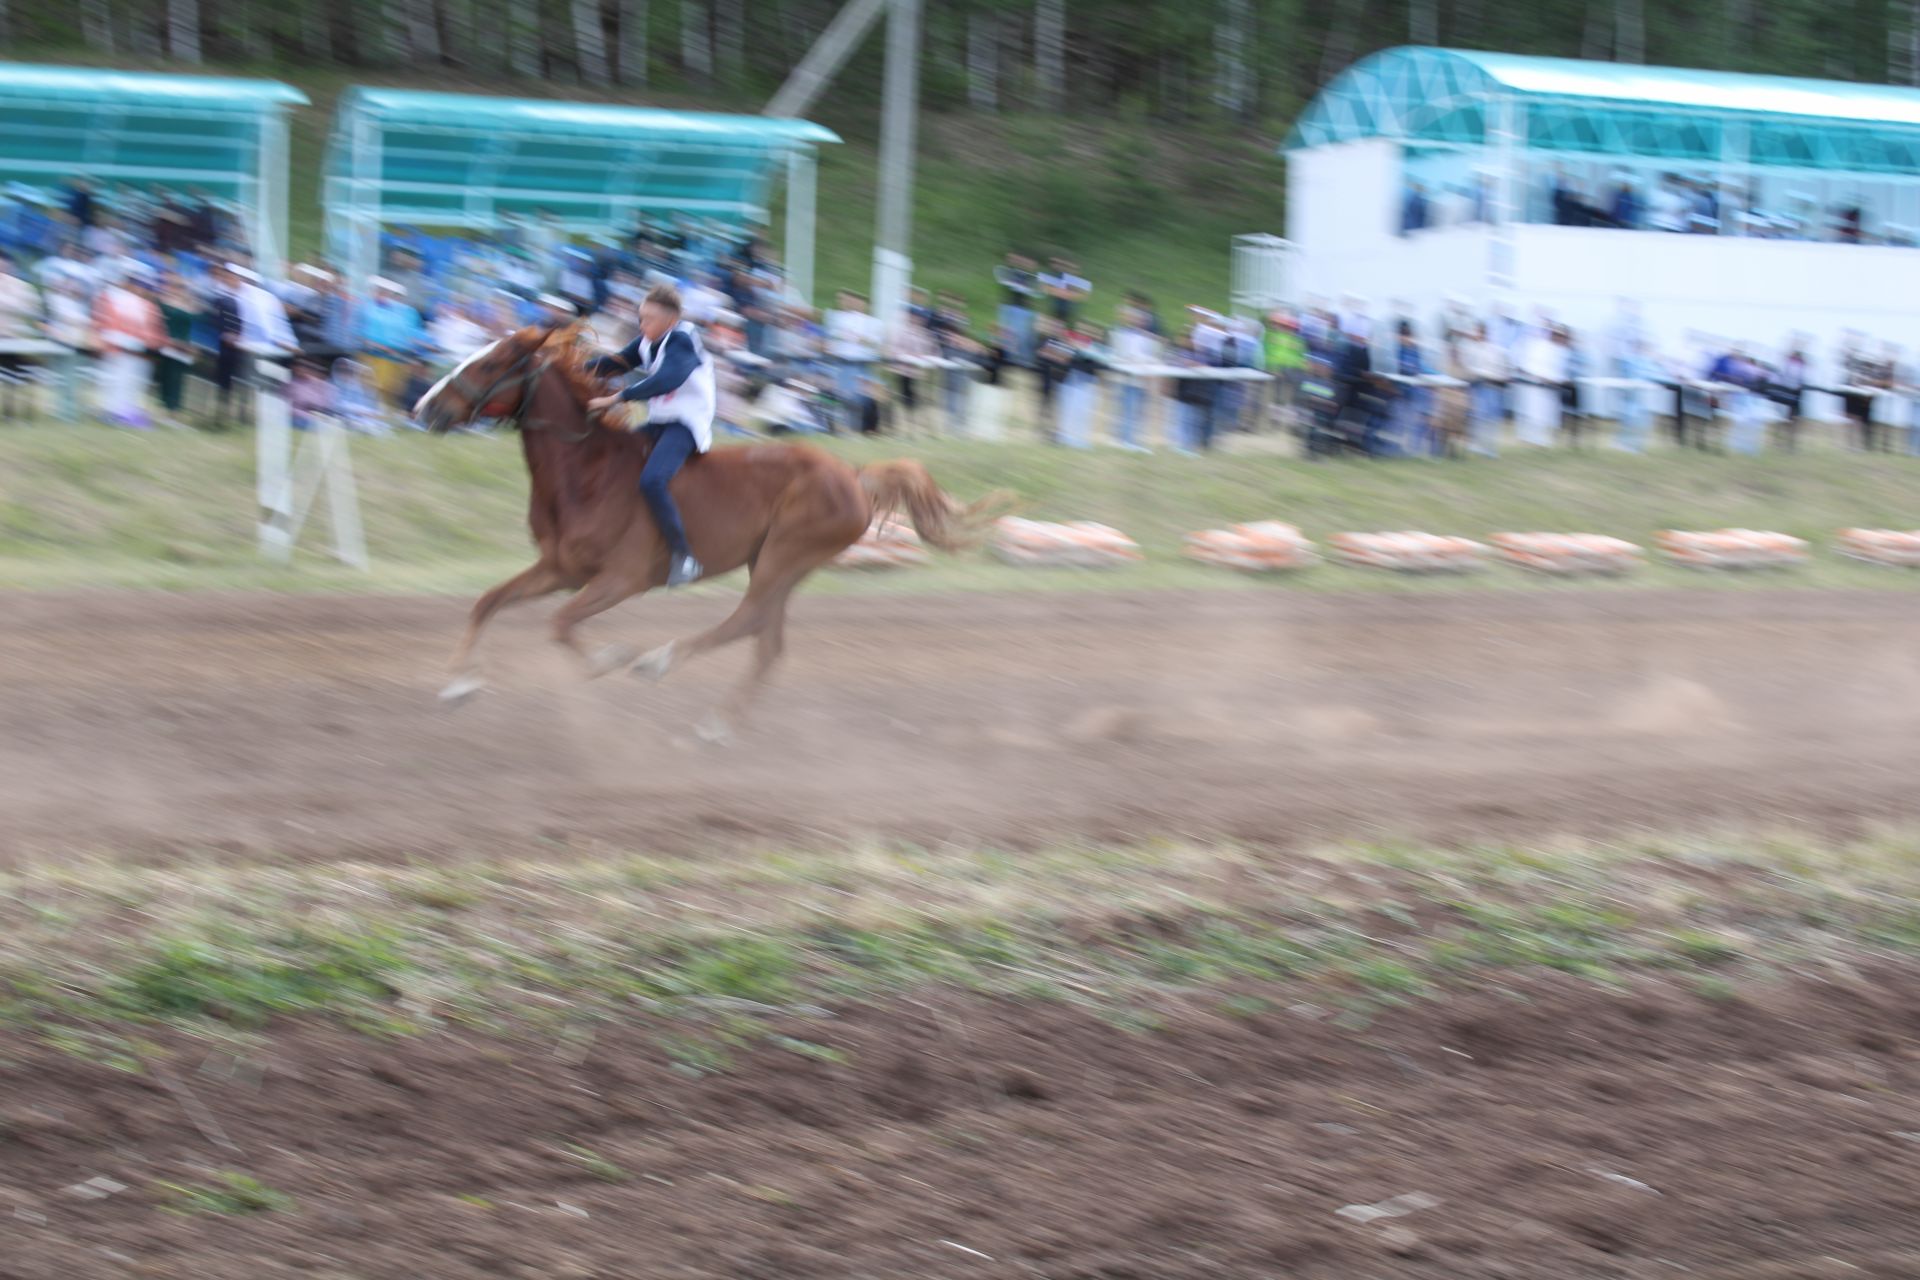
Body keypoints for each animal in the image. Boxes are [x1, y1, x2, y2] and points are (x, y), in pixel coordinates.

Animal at [412, 326, 998, 736]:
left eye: (492, 362)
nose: (425, 406)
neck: (585, 471)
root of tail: (853, 475)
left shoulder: (621, 579)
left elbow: (559, 623)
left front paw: (607, 660)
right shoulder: (559, 568)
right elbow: (488, 602)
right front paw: (460, 683)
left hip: (785, 555)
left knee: (748, 621)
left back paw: (661, 663)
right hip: (773, 562)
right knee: (766, 641)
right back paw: (717, 722)